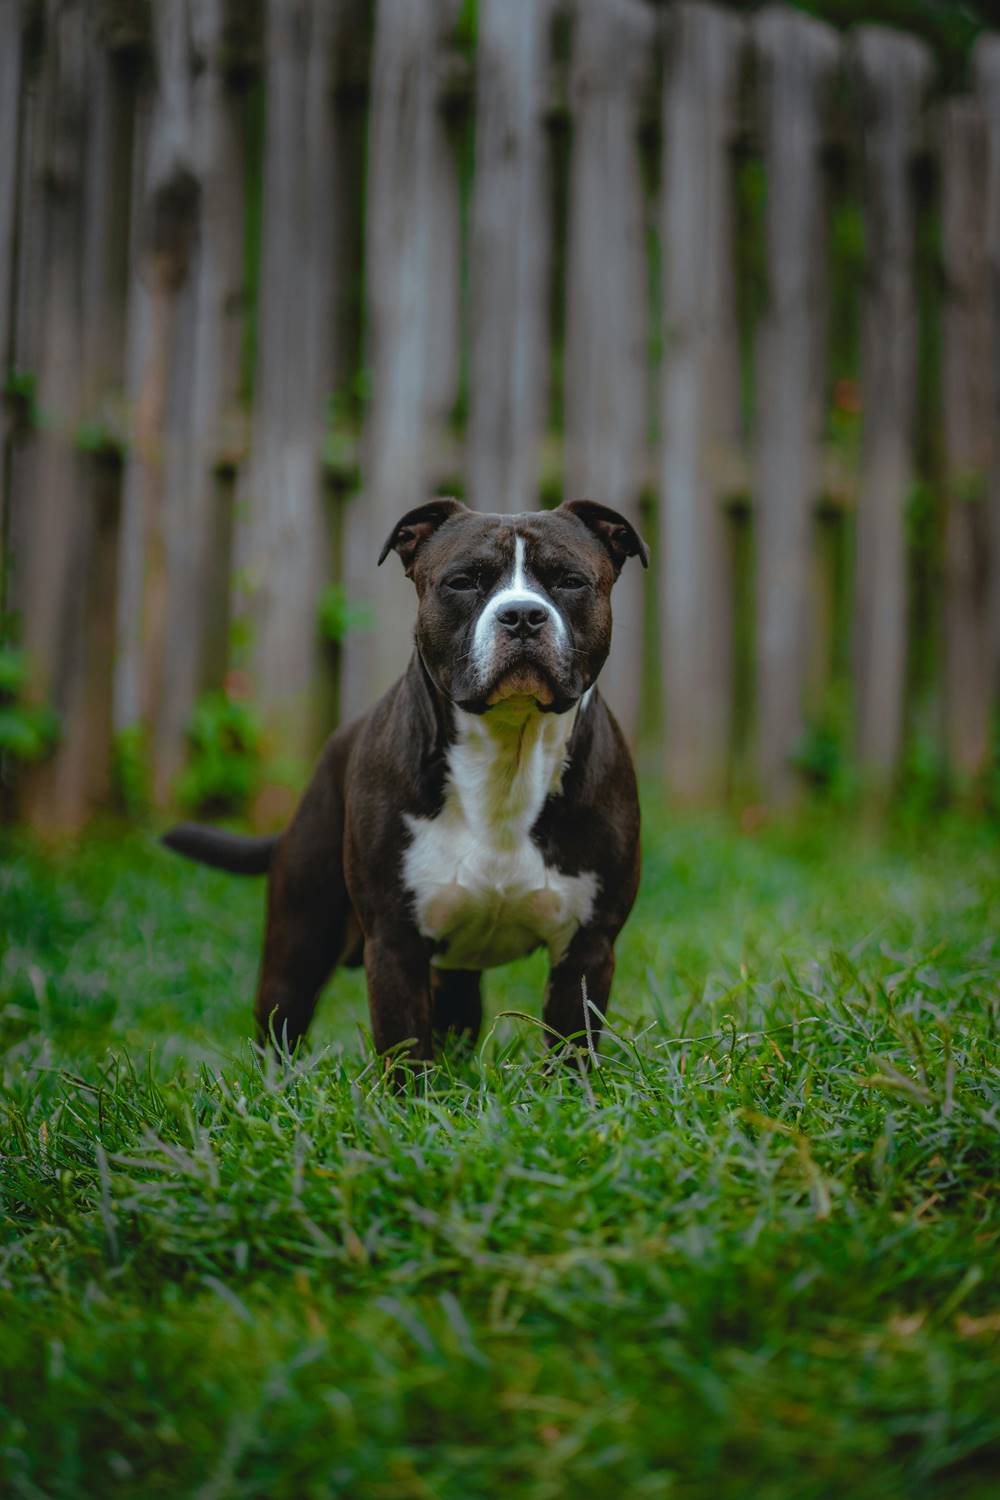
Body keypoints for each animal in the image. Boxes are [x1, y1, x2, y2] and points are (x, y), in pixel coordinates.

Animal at [164, 504, 650, 1068]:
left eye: (570, 581)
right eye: (462, 582)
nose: (523, 615)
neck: (507, 755)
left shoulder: (587, 947)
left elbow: (571, 1054)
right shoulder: (395, 945)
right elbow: (407, 1054)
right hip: (299, 939)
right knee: (281, 1025)